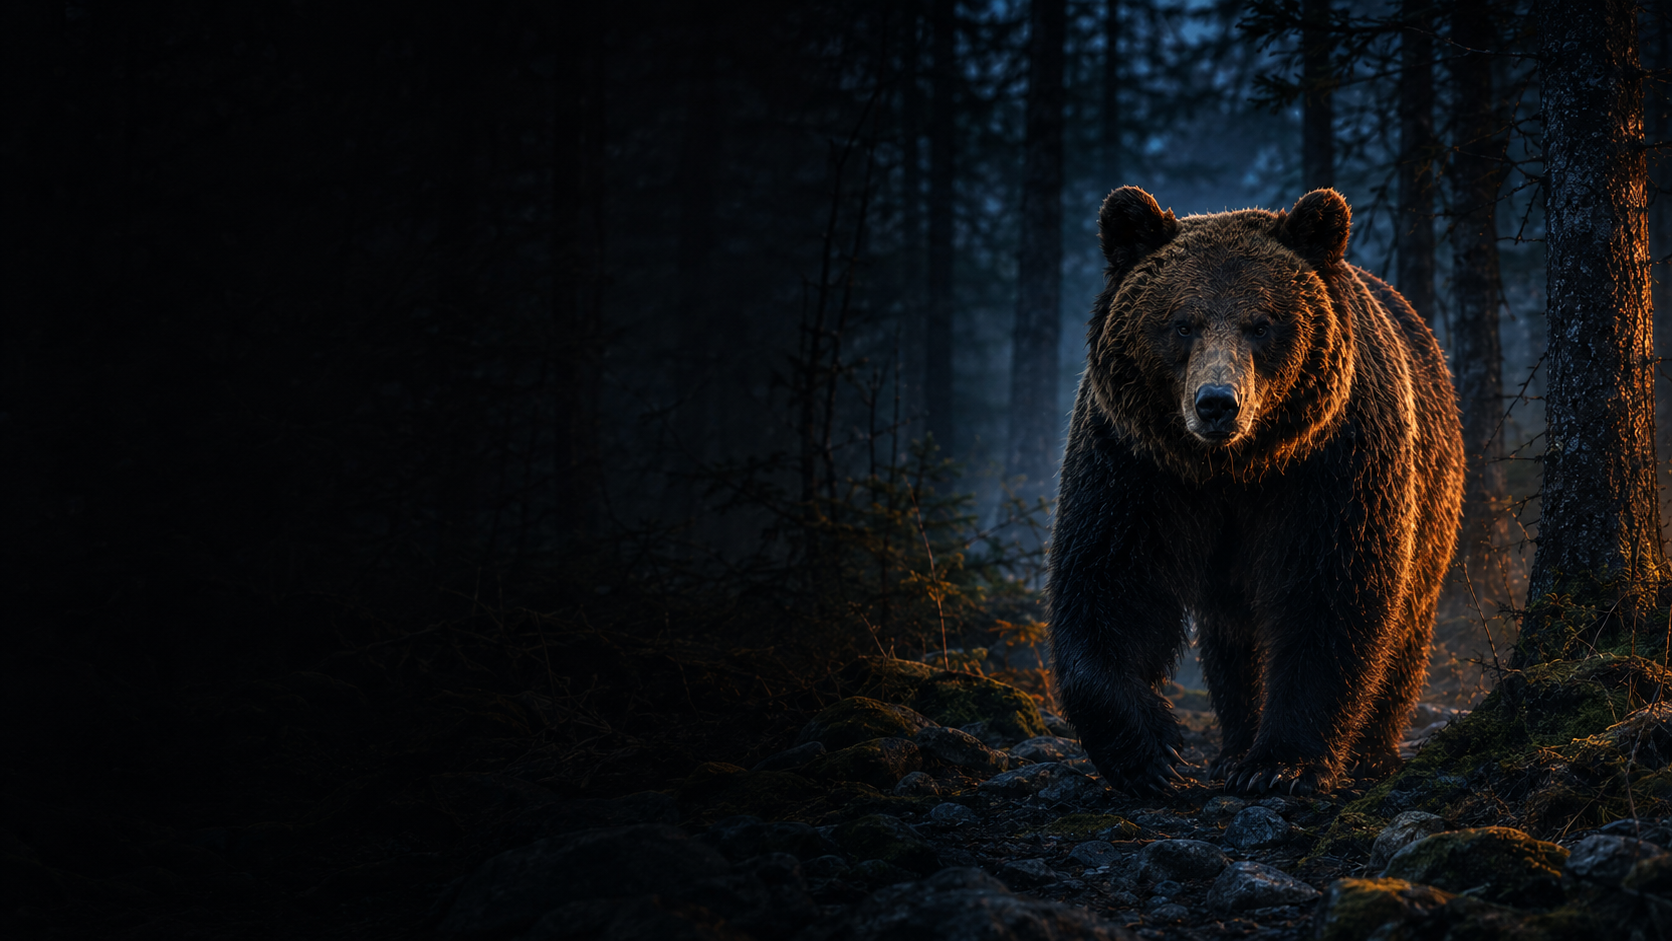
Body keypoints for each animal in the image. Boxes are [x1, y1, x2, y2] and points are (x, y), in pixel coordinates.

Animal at [1046, 186, 1464, 797]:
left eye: (1261, 324)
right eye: (1182, 323)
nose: (1217, 403)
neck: (1233, 468)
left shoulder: (1331, 464)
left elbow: (1331, 591)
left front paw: (1279, 764)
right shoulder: (1135, 464)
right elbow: (1110, 581)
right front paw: (1153, 754)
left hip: (1434, 493)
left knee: (1408, 621)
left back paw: (1371, 752)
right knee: (1231, 639)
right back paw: (1232, 744)